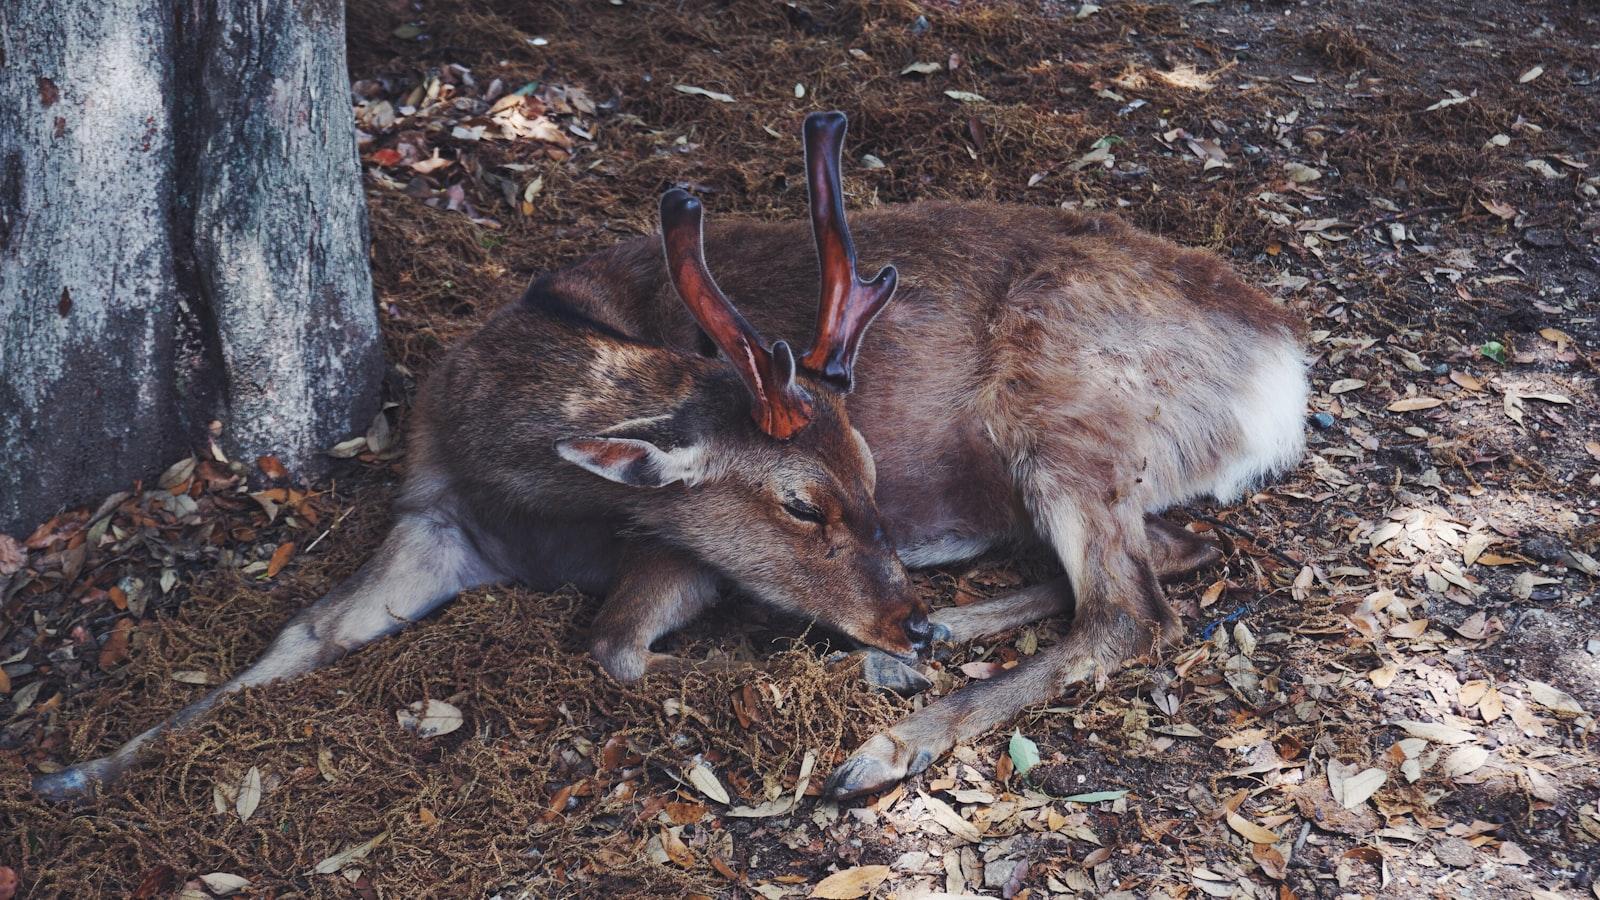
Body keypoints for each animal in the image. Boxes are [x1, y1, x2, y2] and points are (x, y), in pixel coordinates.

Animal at [37, 108, 1305, 800]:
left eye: (871, 480)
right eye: (804, 504)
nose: (900, 623)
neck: (525, 485)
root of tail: (1282, 370)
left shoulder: (672, 542)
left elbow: (608, 644)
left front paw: (869, 675)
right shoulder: (431, 515)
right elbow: (300, 634)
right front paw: (74, 773)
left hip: (1057, 414)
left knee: (1131, 605)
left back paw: (888, 730)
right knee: (1171, 555)